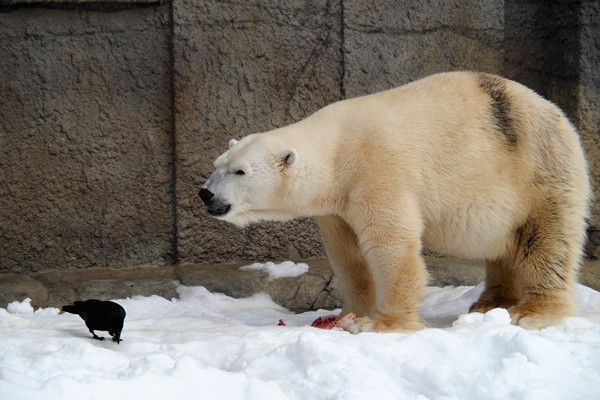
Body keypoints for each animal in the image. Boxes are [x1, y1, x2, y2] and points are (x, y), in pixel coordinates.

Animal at [200, 71, 592, 332]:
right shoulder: (337, 207)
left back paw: (532, 312)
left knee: (546, 241)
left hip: (539, 169)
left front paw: (380, 323)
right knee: (505, 251)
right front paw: (345, 314)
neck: (337, 151)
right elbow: (348, 256)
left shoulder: (378, 170)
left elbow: (388, 245)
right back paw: (488, 304)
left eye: (239, 171)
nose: (206, 193)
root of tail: (559, 116)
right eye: (217, 165)